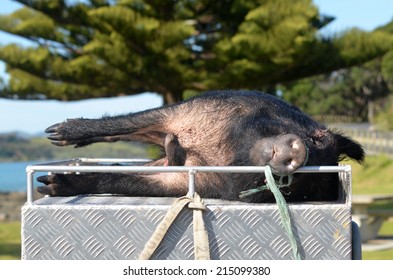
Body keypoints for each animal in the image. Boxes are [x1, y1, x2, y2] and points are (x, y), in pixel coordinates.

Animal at [37, 89, 364, 201]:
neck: (223, 149)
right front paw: (56, 133)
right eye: (315, 138)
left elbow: (122, 181)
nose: (299, 152)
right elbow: (125, 124)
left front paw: (47, 185)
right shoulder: (186, 110)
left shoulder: (195, 183)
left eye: (295, 185)